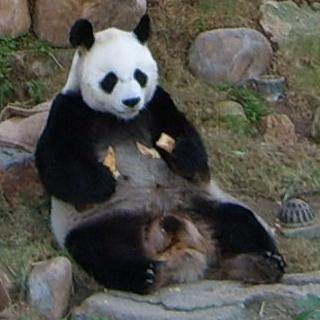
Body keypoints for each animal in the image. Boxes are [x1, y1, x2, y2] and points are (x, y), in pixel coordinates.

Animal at [35, 15, 284, 296]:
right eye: (110, 79)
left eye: (139, 75)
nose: (132, 101)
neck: (121, 118)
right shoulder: (71, 110)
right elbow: (55, 164)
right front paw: (103, 182)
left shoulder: (157, 105)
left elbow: (189, 142)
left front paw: (179, 154)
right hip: (105, 218)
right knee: (102, 248)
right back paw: (146, 274)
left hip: (202, 202)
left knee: (239, 222)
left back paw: (262, 263)